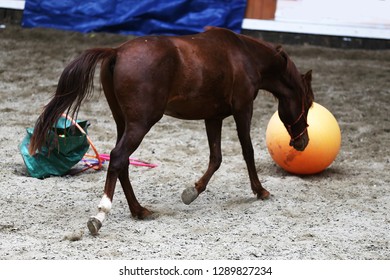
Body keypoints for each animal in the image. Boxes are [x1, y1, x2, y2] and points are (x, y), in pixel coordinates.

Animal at [28, 27, 314, 235]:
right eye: (309, 103)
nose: (303, 143)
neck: (244, 55)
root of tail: (116, 51)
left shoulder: (213, 117)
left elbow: (216, 158)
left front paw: (192, 192)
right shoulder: (243, 109)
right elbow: (247, 151)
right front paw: (260, 191)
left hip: (124, 123)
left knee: (122, 162)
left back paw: (139, 210)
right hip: (141, 123)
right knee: (118, 158)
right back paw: (100, 215)